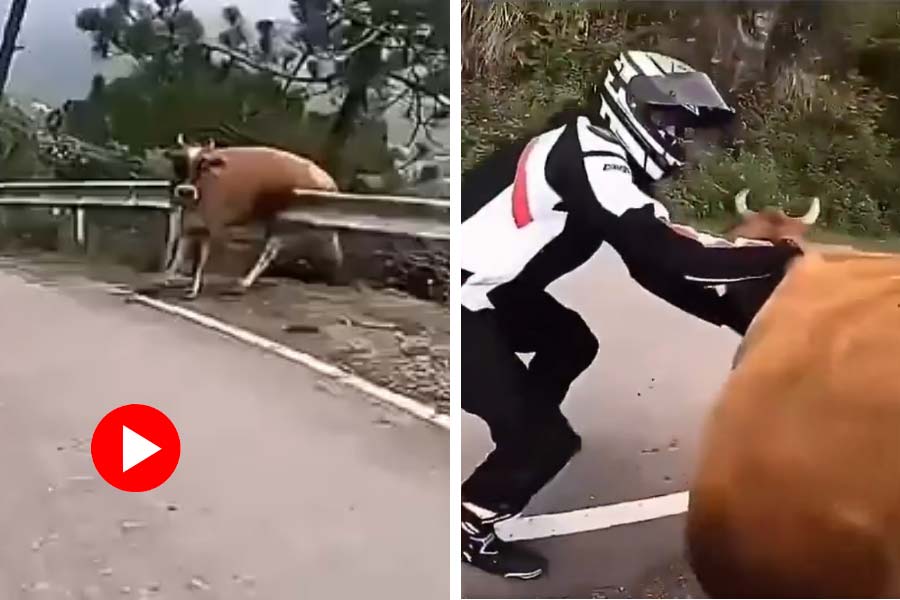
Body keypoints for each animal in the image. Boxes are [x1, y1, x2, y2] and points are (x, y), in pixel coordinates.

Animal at [163, 137, 340, 300]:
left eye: (203, 165)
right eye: (179, 163)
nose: (186, 191)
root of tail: (327, 179)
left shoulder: (213, 228)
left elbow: (200, 261)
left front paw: (193, 289)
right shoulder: (188, 225)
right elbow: (178, 256)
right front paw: (168, 278)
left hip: (287, 224)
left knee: (272, 251)